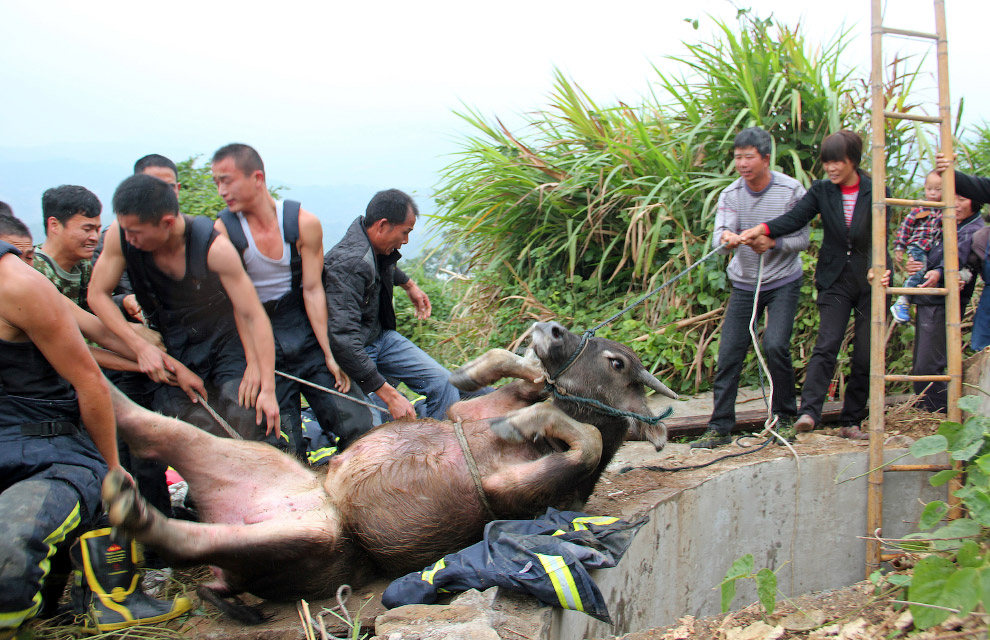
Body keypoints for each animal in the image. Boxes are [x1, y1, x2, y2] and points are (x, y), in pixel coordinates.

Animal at [102, 322, 676, 608]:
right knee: (151, 425)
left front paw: (526, 423)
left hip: (306, 543)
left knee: (192, 537)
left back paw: (132, 508)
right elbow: (509, 372)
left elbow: (588, 443)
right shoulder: (464, 415)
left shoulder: (519, 498)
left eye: (617, 362)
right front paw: (485, 376)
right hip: (256, 460)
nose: (553, 329)